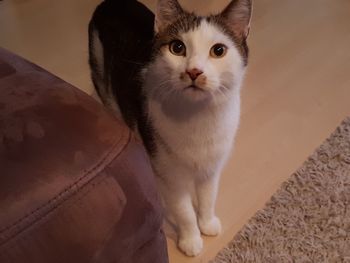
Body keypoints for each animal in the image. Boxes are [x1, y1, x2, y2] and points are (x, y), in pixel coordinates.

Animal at [87, 0, 252, 258]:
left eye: (218, 50)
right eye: (177, 47)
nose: (194, 71)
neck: (198, 117)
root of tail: (112, 2)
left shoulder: (211, 168)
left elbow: (208, 197)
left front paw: (207, 224)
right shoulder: (171, 176)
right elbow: (183, 211)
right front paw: (191, 240)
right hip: (105, 85)